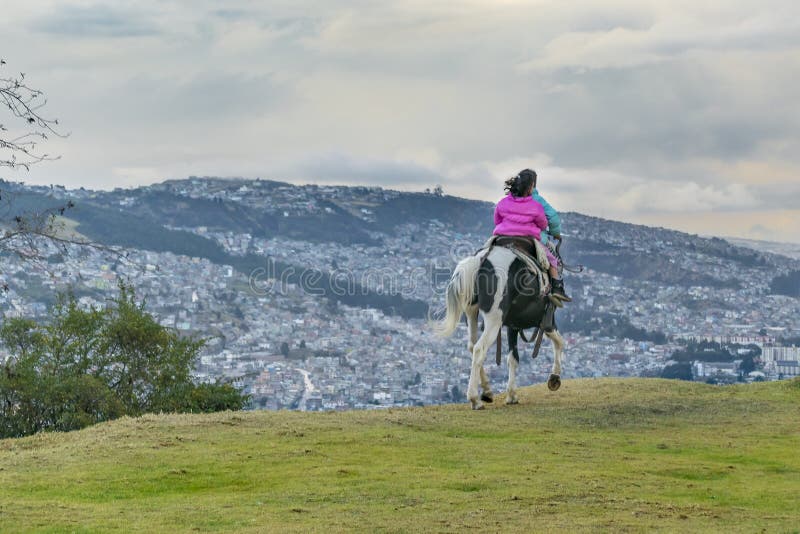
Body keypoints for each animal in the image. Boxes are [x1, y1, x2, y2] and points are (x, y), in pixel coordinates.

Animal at [434, 241, 564, 412]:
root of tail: (480, 259)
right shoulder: (546, 321)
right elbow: (559, 342)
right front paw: (554, 378)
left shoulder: (513, 325)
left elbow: (513, 358)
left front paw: (512, 395)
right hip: (494, 319)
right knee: (479, 349)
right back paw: (475, 399)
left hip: (471, 312)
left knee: (472, 345)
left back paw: (487, 391)